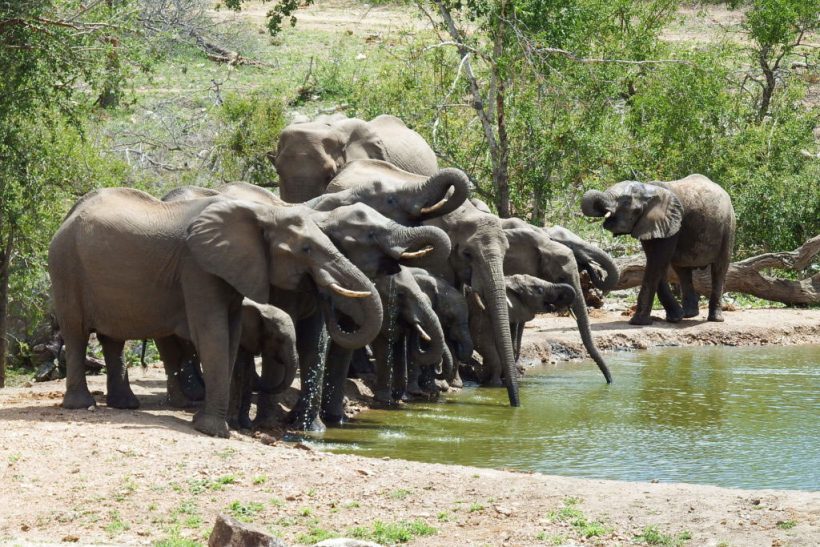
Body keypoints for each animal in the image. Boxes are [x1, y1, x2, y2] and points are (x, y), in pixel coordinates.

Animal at [49, 188, 382, 437]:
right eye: (306, 250)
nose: (323, 292)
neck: (261, 212)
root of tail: (68, 214)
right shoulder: (196, 267)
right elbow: (211, 332)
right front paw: (213, 430)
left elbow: (231, 335)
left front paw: (208, 424)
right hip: (65, 266)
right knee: (76, 332)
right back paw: (81, 405)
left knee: (112, 338)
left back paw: (125, 406)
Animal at [581, 174, 735, 325]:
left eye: (625, 201)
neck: (650, 189)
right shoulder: (649, 224)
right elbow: (655, 261)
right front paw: (675, 318)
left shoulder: (673, 224)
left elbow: (657, 261)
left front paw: (637, 322)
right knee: (682, 270)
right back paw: (689, 315)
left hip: (728, 227)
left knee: (719, 269)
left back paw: (715, 319)